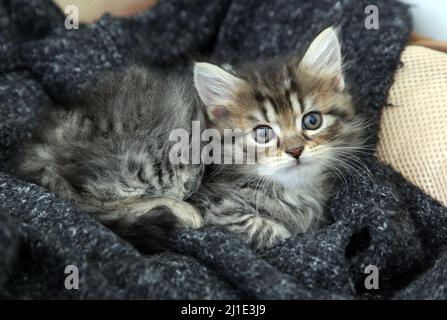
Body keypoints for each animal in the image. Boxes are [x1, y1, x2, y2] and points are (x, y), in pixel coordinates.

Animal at [15, 26, 364, 252]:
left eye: (312, 121)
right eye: (263, 133)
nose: (295, 150)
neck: (292, 187)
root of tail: (46, 141)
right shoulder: (219, 204)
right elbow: (271, 230)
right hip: (157, 160)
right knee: (92, 202)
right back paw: (181, 213)